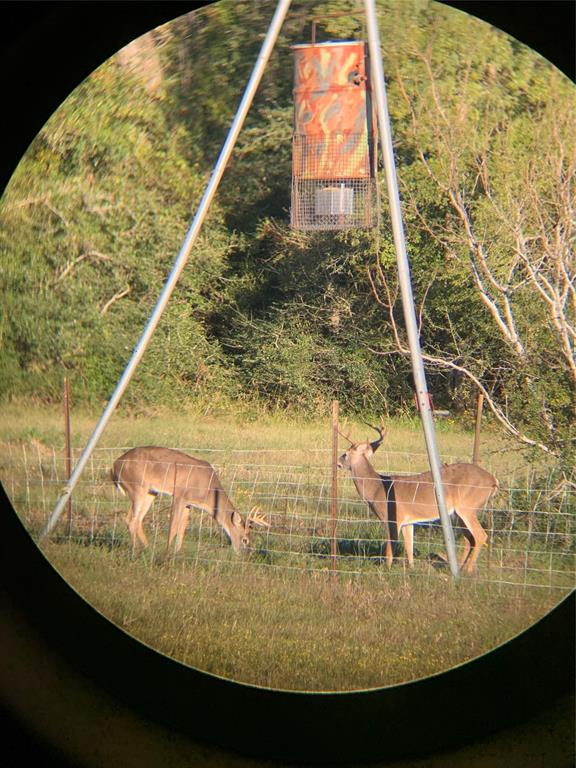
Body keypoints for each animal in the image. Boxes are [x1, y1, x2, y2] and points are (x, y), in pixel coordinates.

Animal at [111, 444, 268, 560]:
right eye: (245, 539)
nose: (247, 555)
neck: (208, 492)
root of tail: (114, 466)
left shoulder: (188, 503)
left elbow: (182, 528)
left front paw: (177, 553)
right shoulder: (180, 495)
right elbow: (173, 526)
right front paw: (167, 555)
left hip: (150, 492)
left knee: (137, 520)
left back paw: (148, 549)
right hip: (138, 487)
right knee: (131, 520)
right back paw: (136, 552)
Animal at [338, 424, 500, 572]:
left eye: (345, 454)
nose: (338, 463)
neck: (376, 489)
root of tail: (493, 480)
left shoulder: (392, 518)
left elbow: (390, 546)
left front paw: (387, 569)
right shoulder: (408, 521)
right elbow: (409, 546)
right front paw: (411, 568)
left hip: (468, 507)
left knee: (480, 536)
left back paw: (468, 571)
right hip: (461, 512)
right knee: (469, 538)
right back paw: (459, 568)